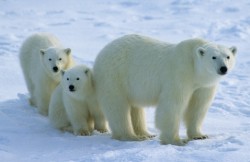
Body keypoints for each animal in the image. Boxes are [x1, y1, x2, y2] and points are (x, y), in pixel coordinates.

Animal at [94, 34, 236, 146]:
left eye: (228, 56)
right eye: (213, 57)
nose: (223, 68)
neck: (194, 67)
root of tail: (101, 53)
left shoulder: (204, 86)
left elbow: (198, 107)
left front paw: (199, 135)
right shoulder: (179, 74)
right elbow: (172, 105)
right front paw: (177, 140)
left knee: (135, 107)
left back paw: (146, 133)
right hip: (115, 76)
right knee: (117, 107)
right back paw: (131, 136)